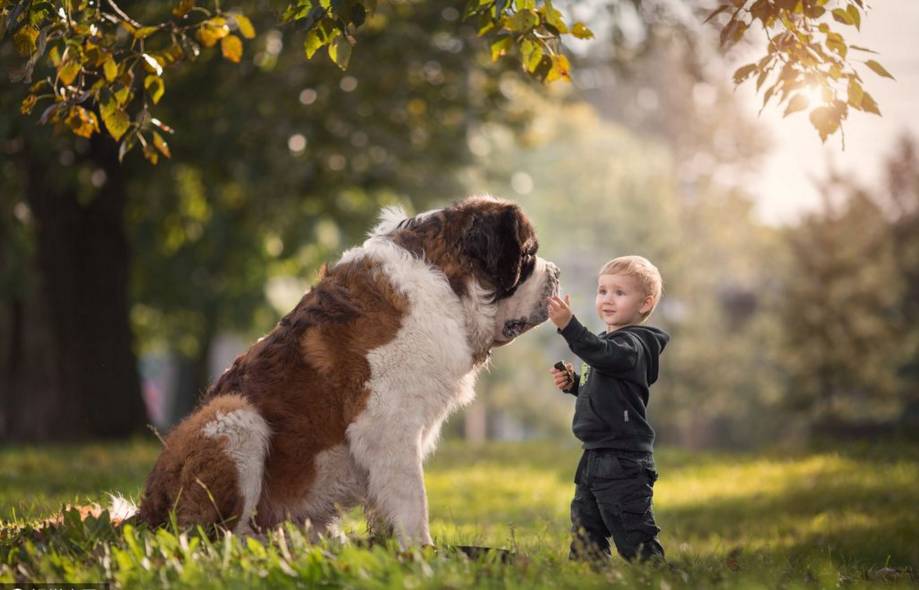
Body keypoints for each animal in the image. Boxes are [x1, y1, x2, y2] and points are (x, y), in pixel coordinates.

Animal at [135, 197, 560, 548]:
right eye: (528, 256)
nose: (556, 272)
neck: (445, 281)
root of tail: (143, 513)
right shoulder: (387, 425)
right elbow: (412, 499)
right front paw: (423, 555)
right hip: (233, 418)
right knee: (214, 539)